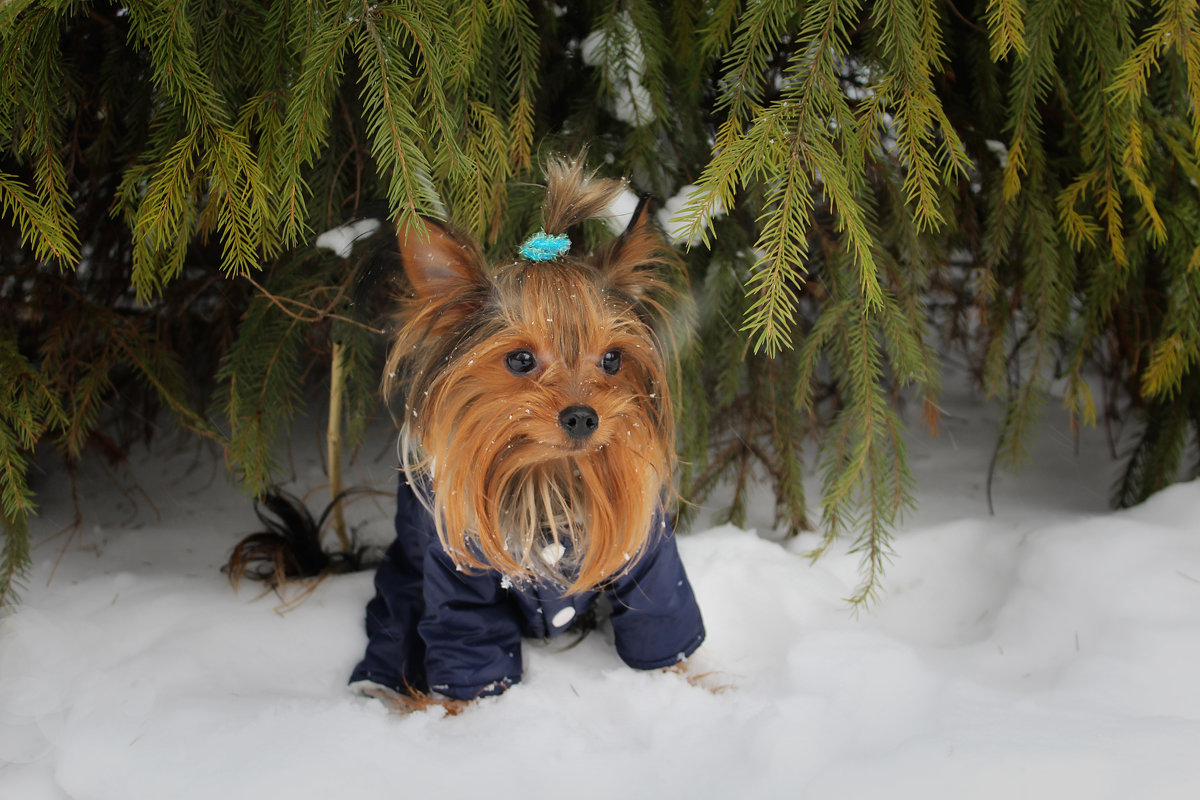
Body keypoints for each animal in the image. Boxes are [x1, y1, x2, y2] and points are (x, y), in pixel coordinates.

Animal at [348, 159, 700, 710]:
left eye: (612, 359)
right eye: (519, 360)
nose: (583, 417)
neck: (549, 472)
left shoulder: (649, 556)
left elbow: (663, 621)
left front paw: (682, 686)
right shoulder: (455, 573)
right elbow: (468, 644)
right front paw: (473, 712)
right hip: (404, 580)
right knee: (391, 620)